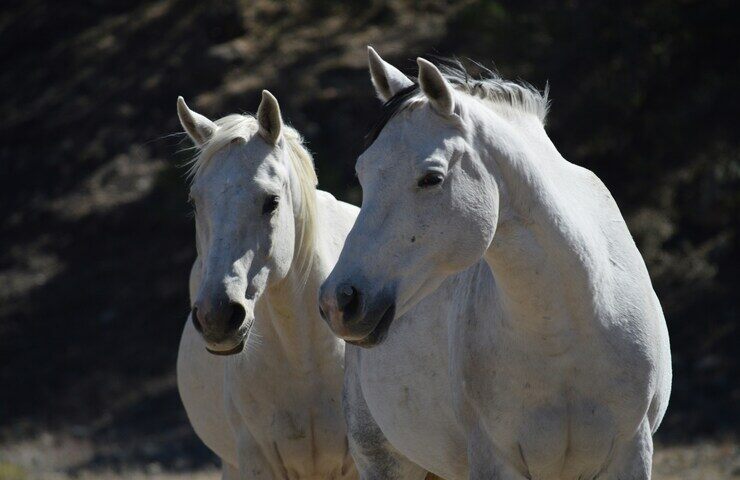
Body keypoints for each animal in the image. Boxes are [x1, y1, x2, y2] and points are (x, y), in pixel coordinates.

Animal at [318, 49, 672, 480]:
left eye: (431, 178)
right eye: (362, 173)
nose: (340, 301)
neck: (569, 328)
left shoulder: (631, 452)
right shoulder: (494, 459)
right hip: (382, 461)